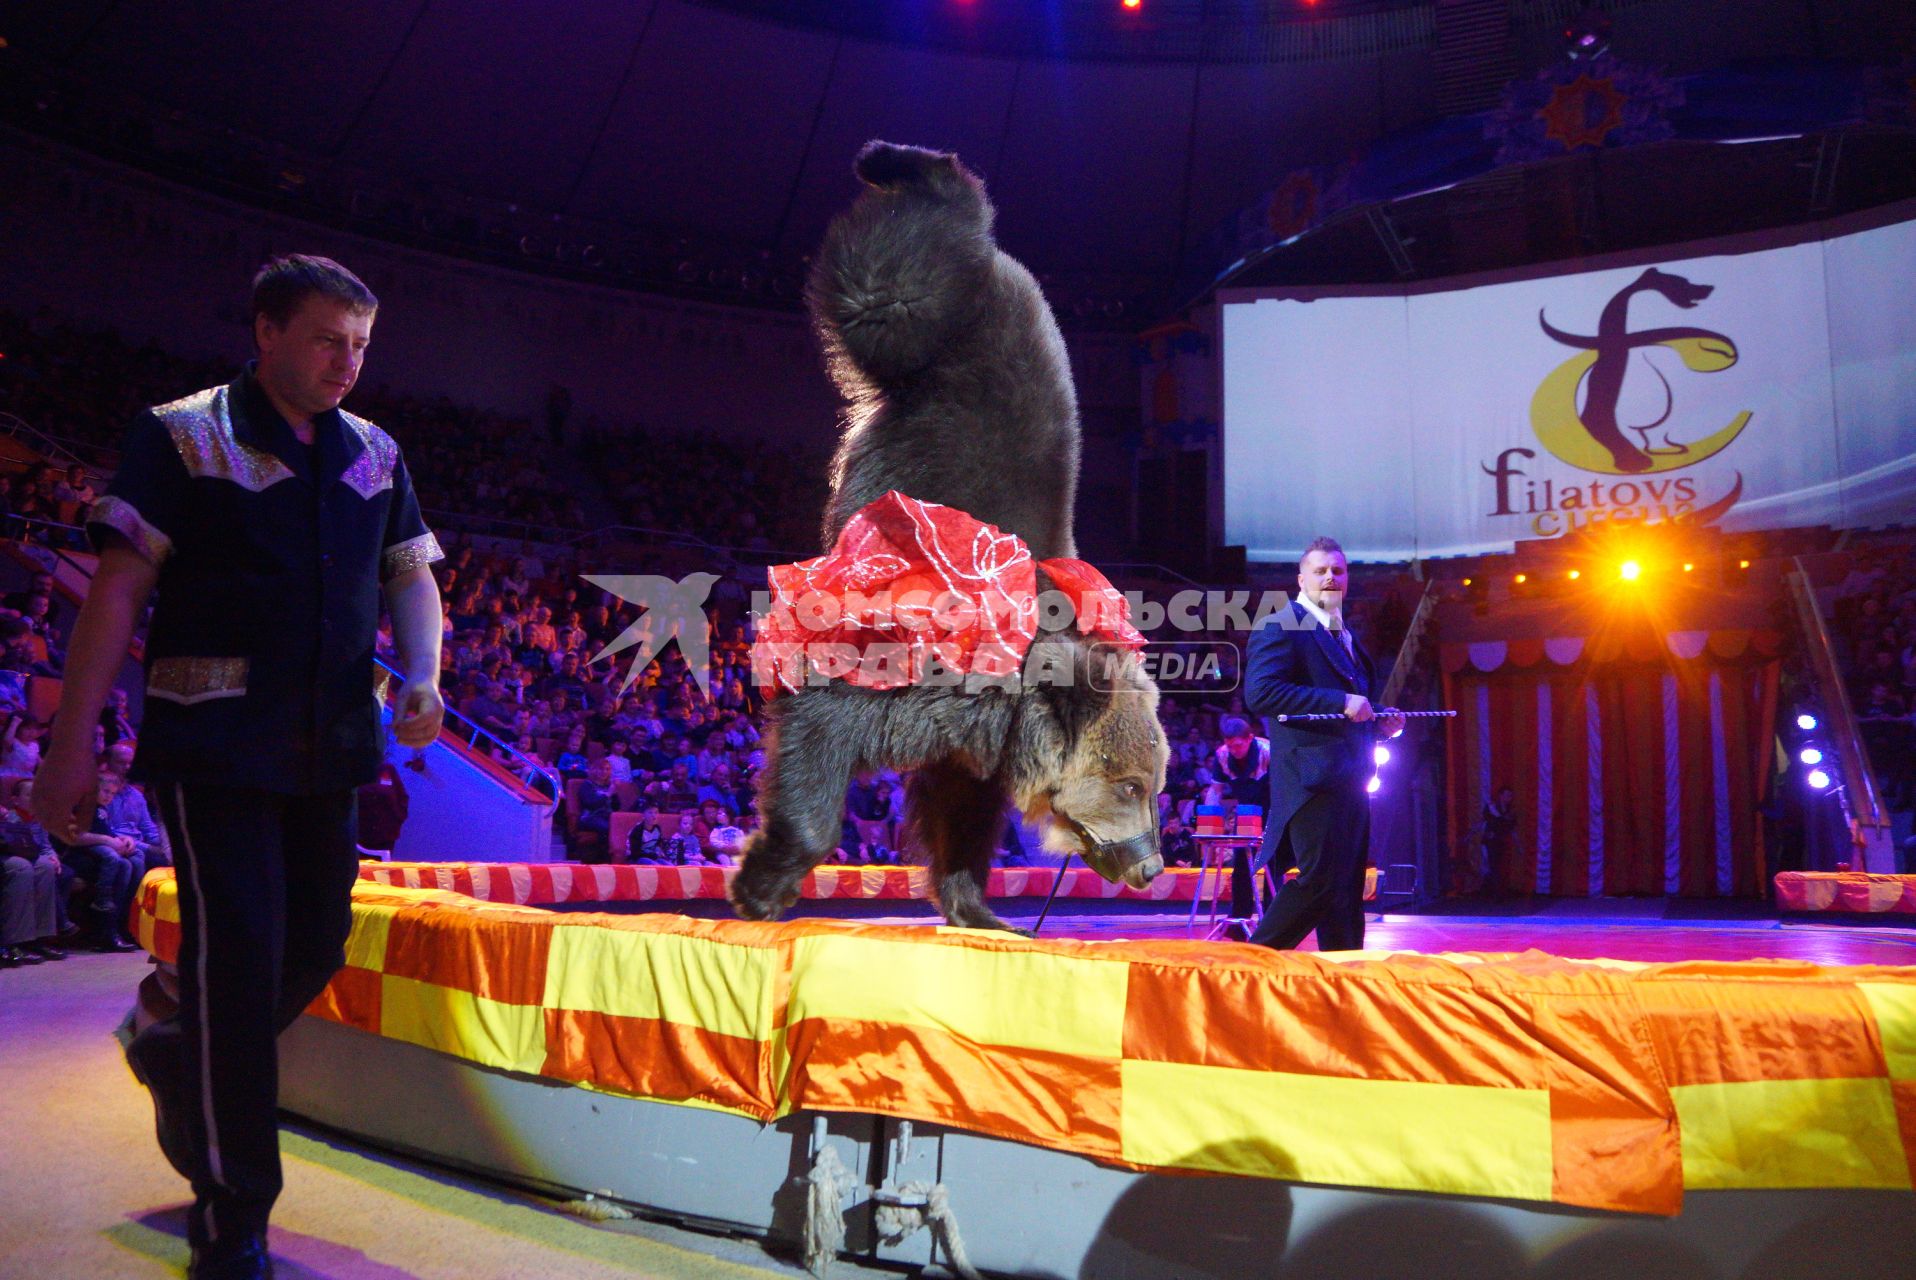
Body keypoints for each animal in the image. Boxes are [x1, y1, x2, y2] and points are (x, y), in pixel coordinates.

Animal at [724, 144, 1157, 935]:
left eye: (1154, 782)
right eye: (1132, 784)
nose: (1151, 865)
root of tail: (1001, 261)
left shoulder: (971, 737)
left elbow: (960, 810)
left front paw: (982, 909)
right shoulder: (915, 654)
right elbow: (823, 723)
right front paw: (761, 888)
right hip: (924, 318)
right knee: (890, 277)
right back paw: (897, 162)